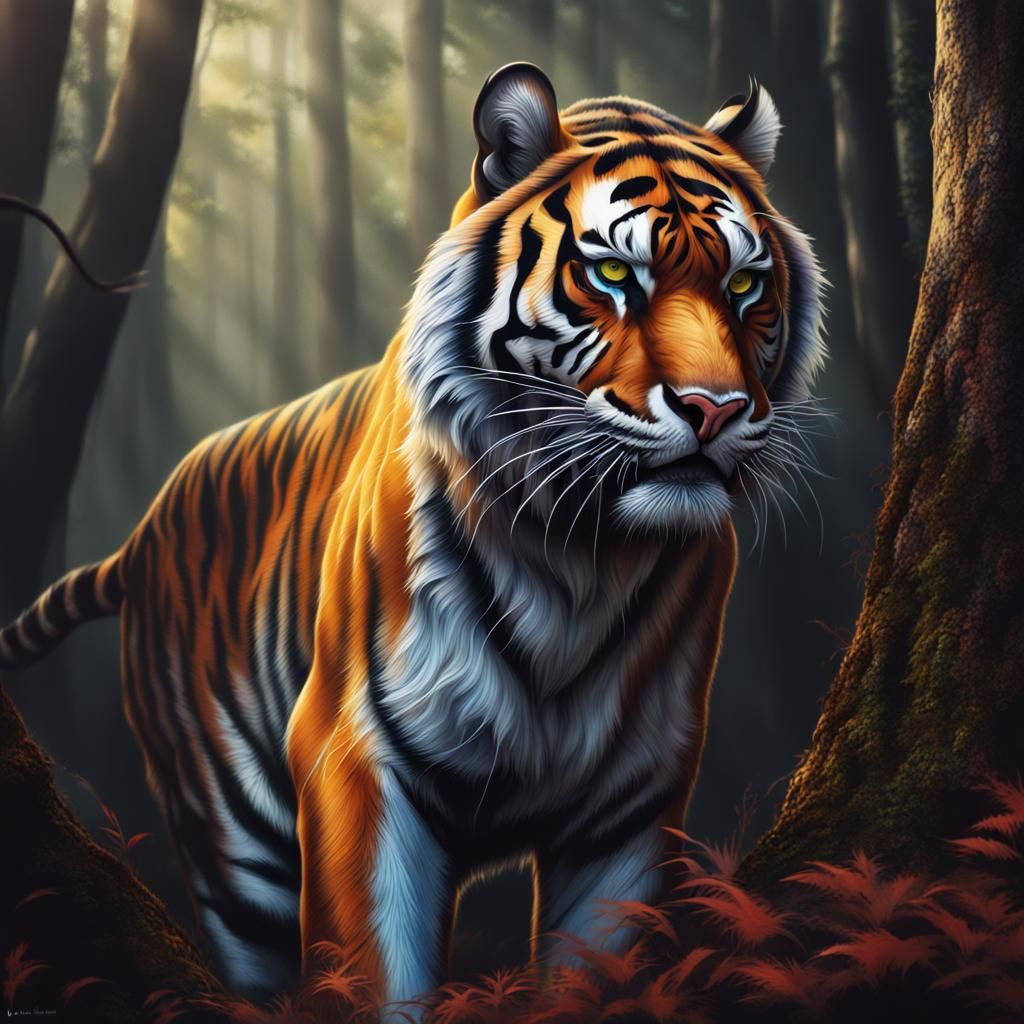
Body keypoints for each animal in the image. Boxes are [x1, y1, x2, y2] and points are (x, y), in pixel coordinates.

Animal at [0, 63, 824, 1013]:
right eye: (615, 273)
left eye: (745, 285)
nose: (715, 410)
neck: (583, 555)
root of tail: (139, 534)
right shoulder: (355, 755)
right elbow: (369, 975)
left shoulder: (632, 803)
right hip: (234, 843)